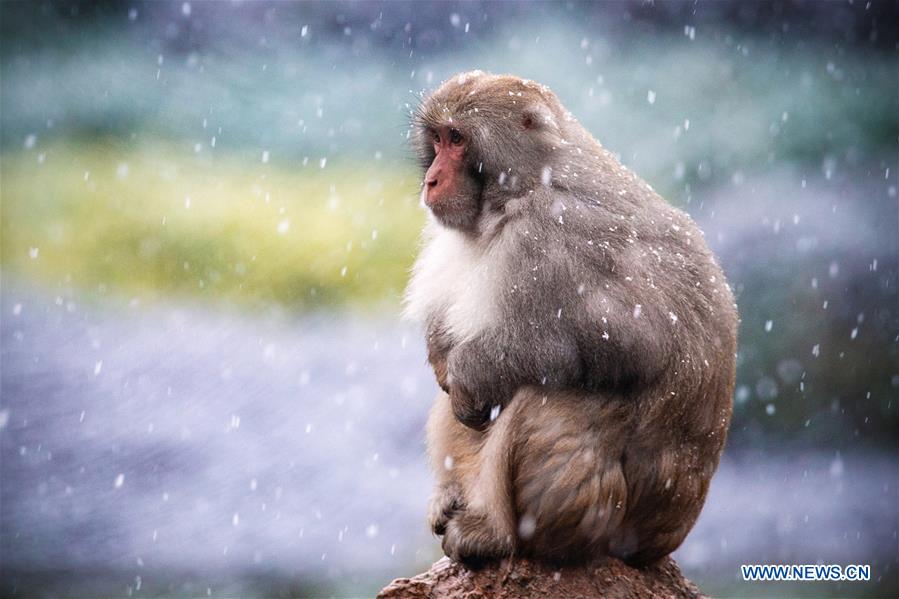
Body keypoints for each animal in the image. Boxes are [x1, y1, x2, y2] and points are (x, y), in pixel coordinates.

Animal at [404, 71, 738, 567]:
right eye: (439, 139)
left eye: (458, 139)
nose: (432, 179)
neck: (526, 187)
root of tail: (660, 541)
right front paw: (441, 357)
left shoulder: (548, 238)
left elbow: (602, 345)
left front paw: (463, 374)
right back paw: (452, 502)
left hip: (593, 515)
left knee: (543, 397)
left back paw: (494, 535)